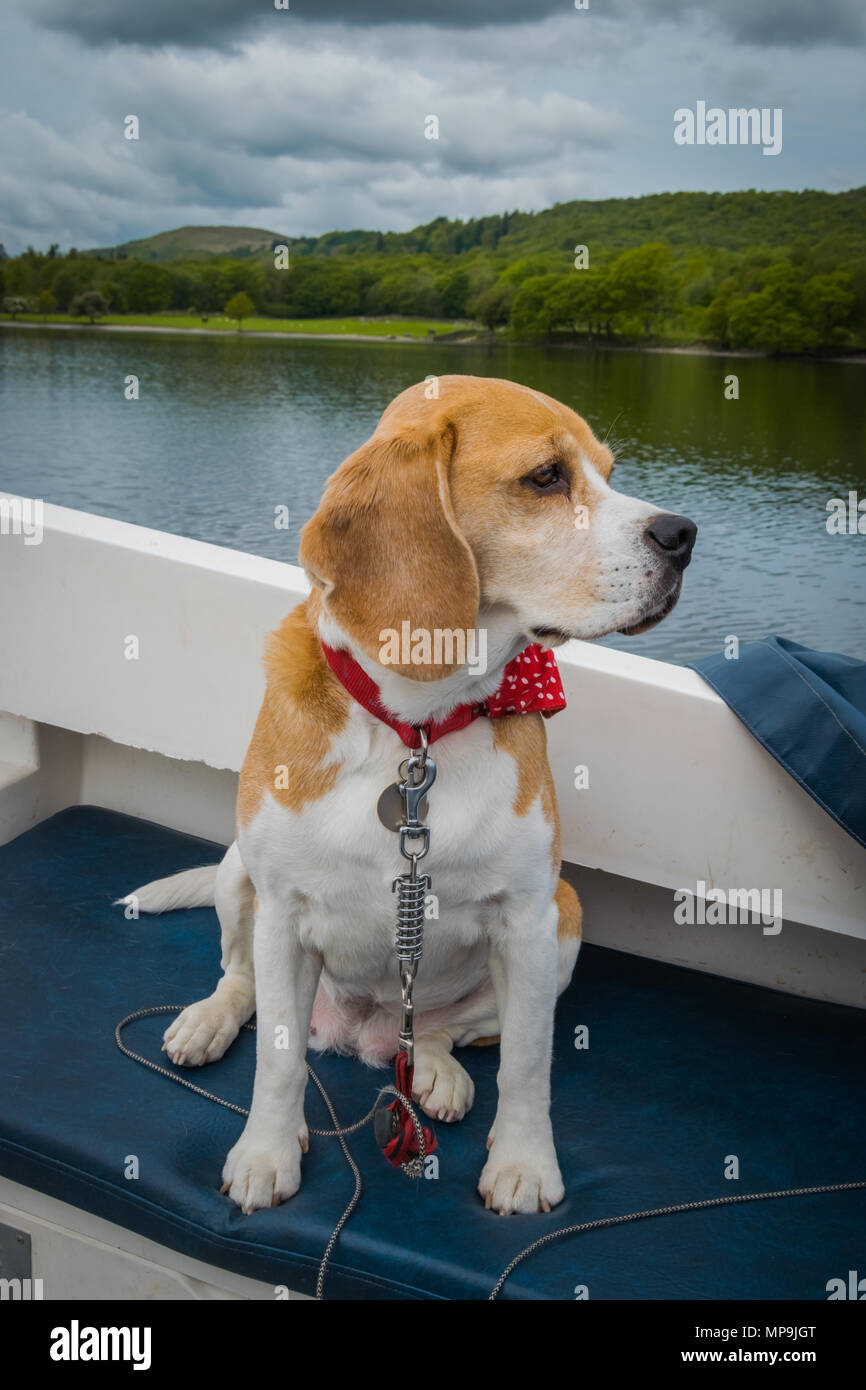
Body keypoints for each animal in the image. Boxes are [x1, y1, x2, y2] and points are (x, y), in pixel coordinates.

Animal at [127, 375, 697, 1212]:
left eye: (609, 471)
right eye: (546, 477)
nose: (684, 534)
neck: (415, 730)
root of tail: (359, 1033)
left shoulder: (529, 922)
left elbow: (529, 1064)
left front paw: (524, 1165)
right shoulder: (282, 911)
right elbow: (278, 1060)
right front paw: (266, 1152)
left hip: (566, 918)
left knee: (441, 1029)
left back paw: (432, 1068)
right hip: (239, 873)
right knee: (243, 982)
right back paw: (209, 1021)